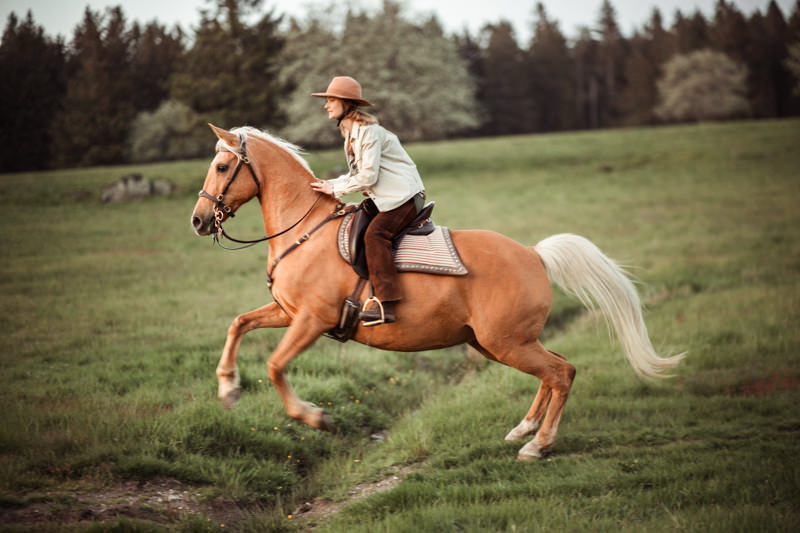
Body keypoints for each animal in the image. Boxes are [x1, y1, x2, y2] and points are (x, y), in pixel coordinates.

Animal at [191, 123, 684, 458]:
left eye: (221, 166)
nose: (197, 221)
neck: (306, 231)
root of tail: (533, 254)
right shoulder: (288, 313)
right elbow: (238, 324)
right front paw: (228, 389)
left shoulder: (312, 319)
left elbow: (275, 366)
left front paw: (314, 416)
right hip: (500, 342)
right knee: (555, 369)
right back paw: (524, 430)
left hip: (506, 343)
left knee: (562, 373)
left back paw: (537, 444)